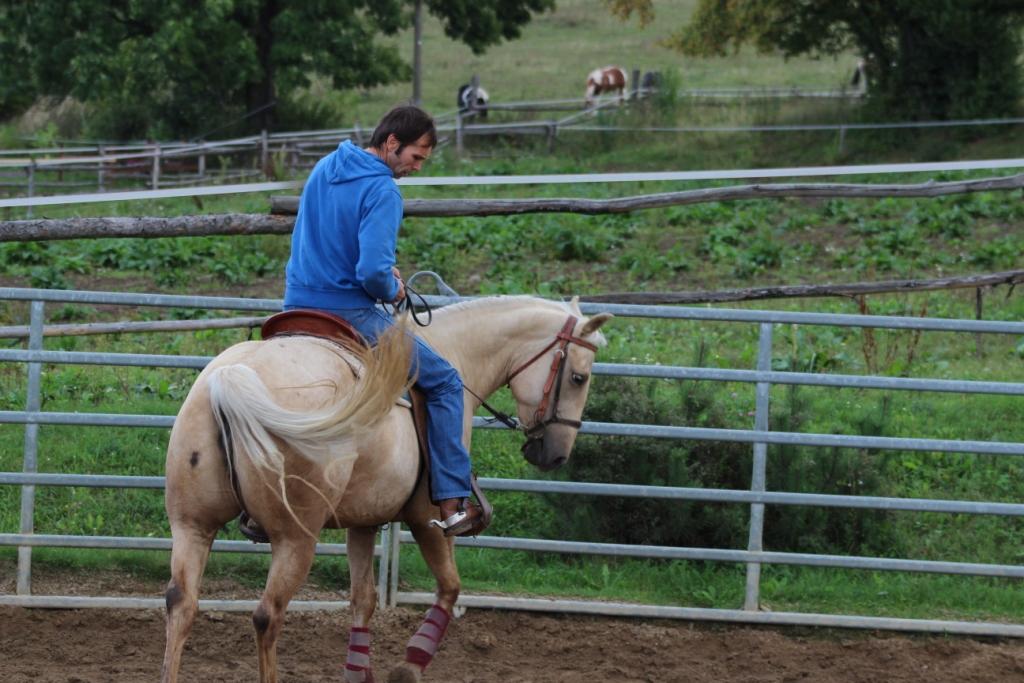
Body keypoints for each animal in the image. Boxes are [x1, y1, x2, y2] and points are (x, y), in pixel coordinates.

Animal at [160, 295, 612, 683]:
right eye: (579, 377)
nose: (555, 455)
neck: (456, 352)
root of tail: (229, 379)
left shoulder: (363, 522)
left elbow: (364, 600)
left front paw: (359, 673)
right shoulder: (427, 520)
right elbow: (450, 588)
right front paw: (408, 666)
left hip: (192, 526)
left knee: (181, 604)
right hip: (294, 539)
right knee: (266, 616)